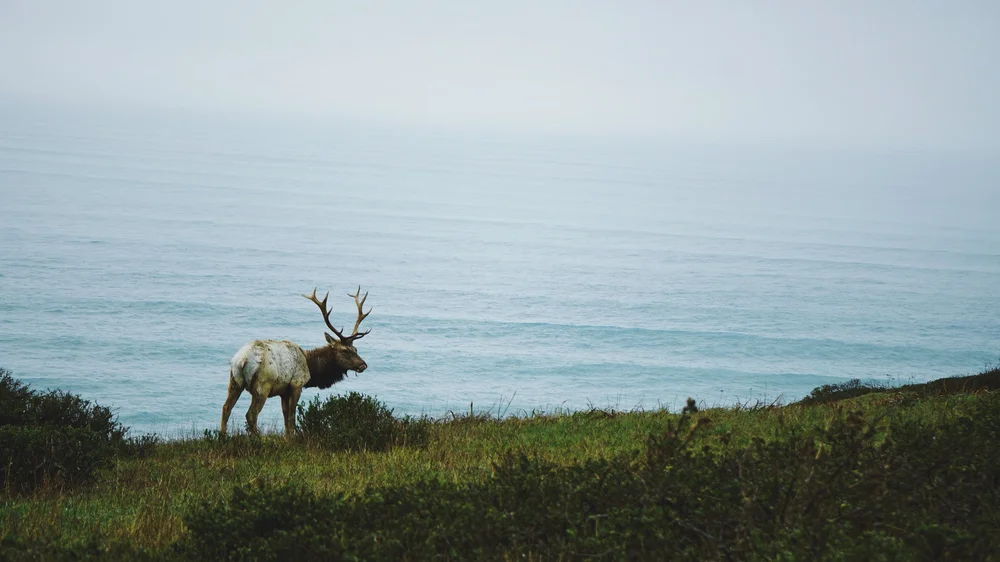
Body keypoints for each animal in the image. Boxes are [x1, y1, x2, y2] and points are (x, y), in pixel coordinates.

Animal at [221, 286, 372, 437]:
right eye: (345, 350)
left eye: (355, 349)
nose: (363, 365)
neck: (310, 366)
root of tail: (242, 359)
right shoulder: (297, 384)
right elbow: (292, 417)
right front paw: (292, 438)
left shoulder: (283, 391)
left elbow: (285, 417)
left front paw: (287, 438)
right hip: (263, 384)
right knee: (251, 414)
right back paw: (257, 437)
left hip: (234, 381)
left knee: (226, 407)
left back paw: (223, 436)